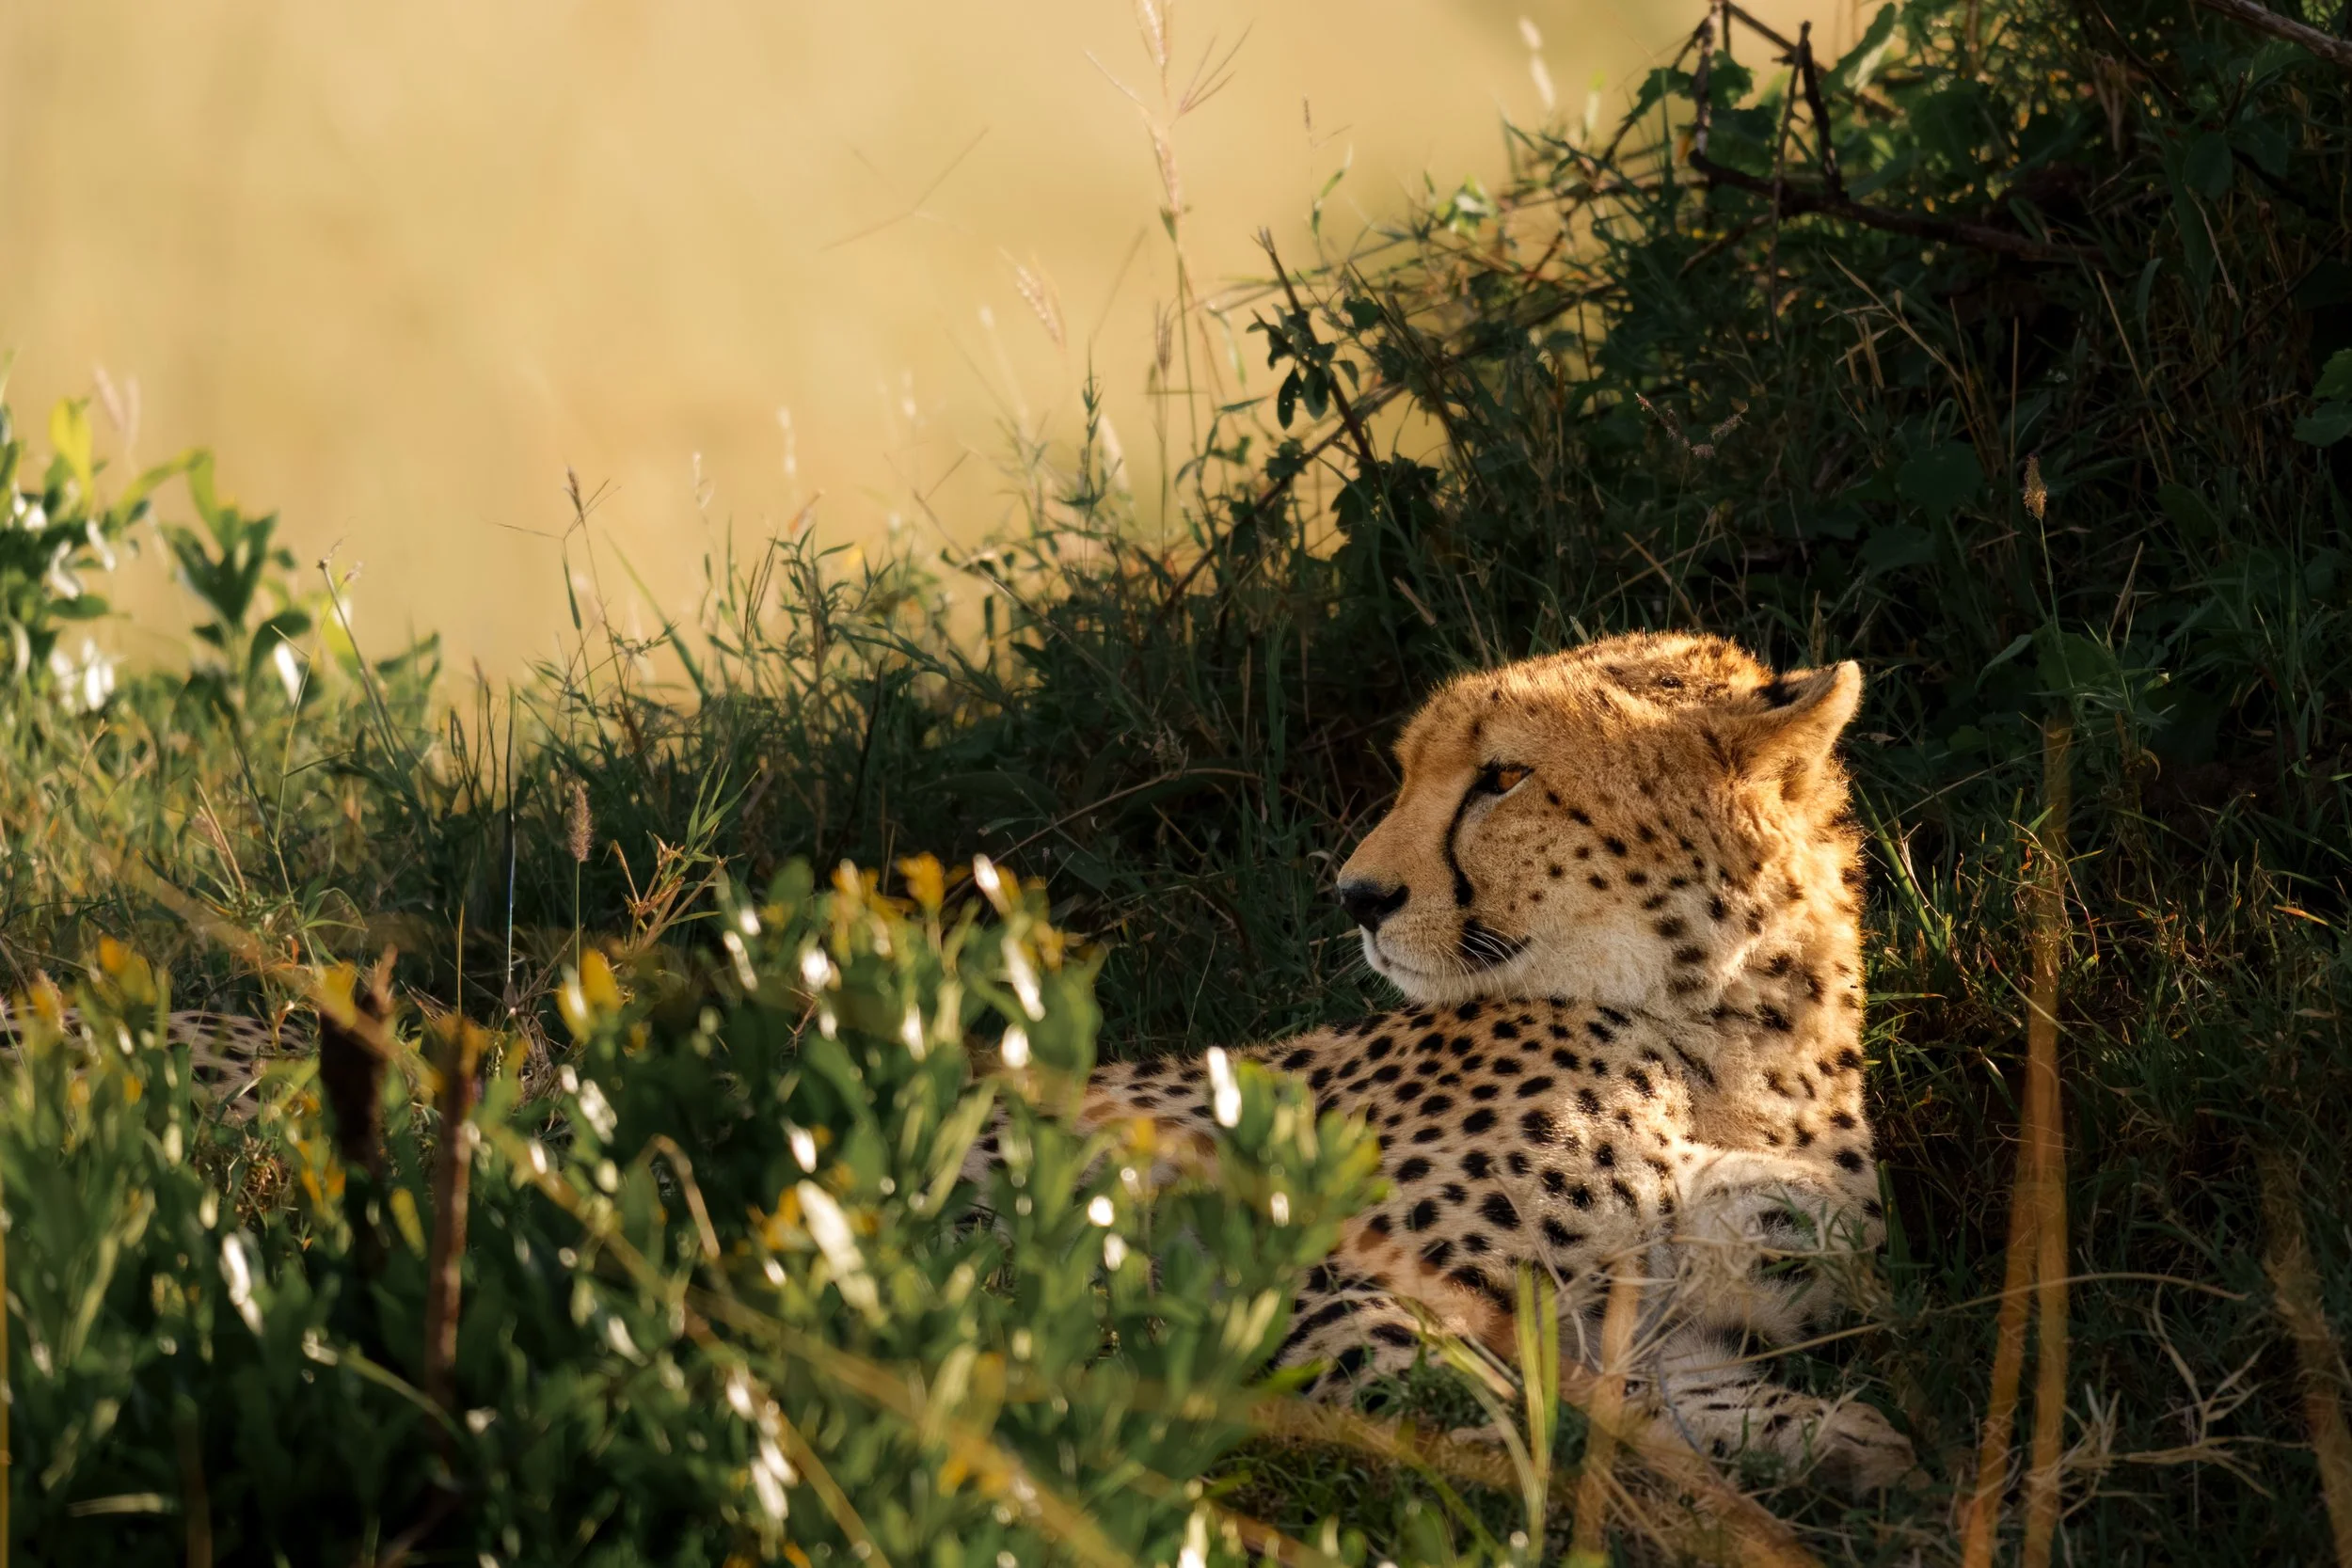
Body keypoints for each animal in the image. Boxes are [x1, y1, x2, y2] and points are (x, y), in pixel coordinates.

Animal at [977, 630, 1918, 1492]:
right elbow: (1494, 1417)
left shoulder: (1691, 1322)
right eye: (1409, 772)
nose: (1357, 897)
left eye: (1502, 777)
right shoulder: (1304, 1289)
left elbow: (1678, 1399)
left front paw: (1847, 1442)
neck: (1734, 1045)